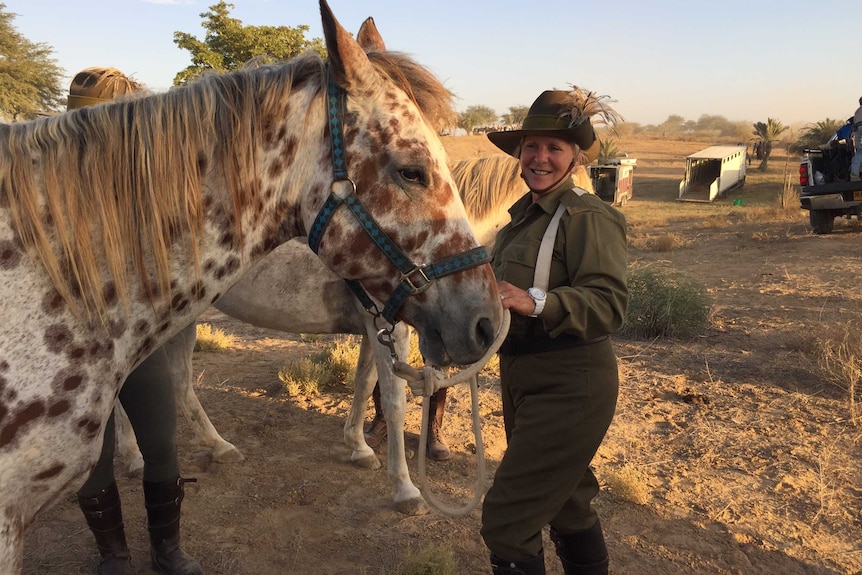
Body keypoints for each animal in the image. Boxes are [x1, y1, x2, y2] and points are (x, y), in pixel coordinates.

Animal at [0, 2, 506, 572]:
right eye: (412, 171)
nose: (487, 322)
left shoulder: (375, 322)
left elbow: (363, 386)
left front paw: (357, 446)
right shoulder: (389, 327)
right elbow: (395, 401)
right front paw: (405, 488)